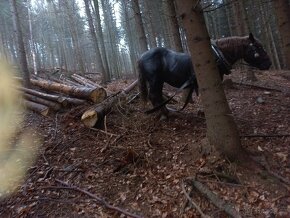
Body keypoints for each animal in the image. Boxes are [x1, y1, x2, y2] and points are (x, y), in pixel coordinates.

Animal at [138, 32, 272, 117]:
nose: (269, 63)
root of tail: (141, 56)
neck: (217, 56)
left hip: (159, 81)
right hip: (155, 80)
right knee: (154, 96)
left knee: (158, 96)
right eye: (258, 47)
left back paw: (166, 112)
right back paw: (164, 114)